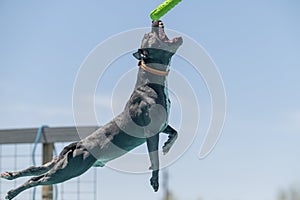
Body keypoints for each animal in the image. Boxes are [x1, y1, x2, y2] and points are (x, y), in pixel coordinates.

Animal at [1, 20, 182, 200]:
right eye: (148, 35)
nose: (156, 21)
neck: (151, 83)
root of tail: (78, 144)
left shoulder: (162, 124)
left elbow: (175, 133)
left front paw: (167, 146)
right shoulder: (151, 131)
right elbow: (155, 159)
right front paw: (155, 180)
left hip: (58, 163)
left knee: (34, 169)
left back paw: (10, 175)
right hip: (68, 169)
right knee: (36, 179)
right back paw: (11, 192)